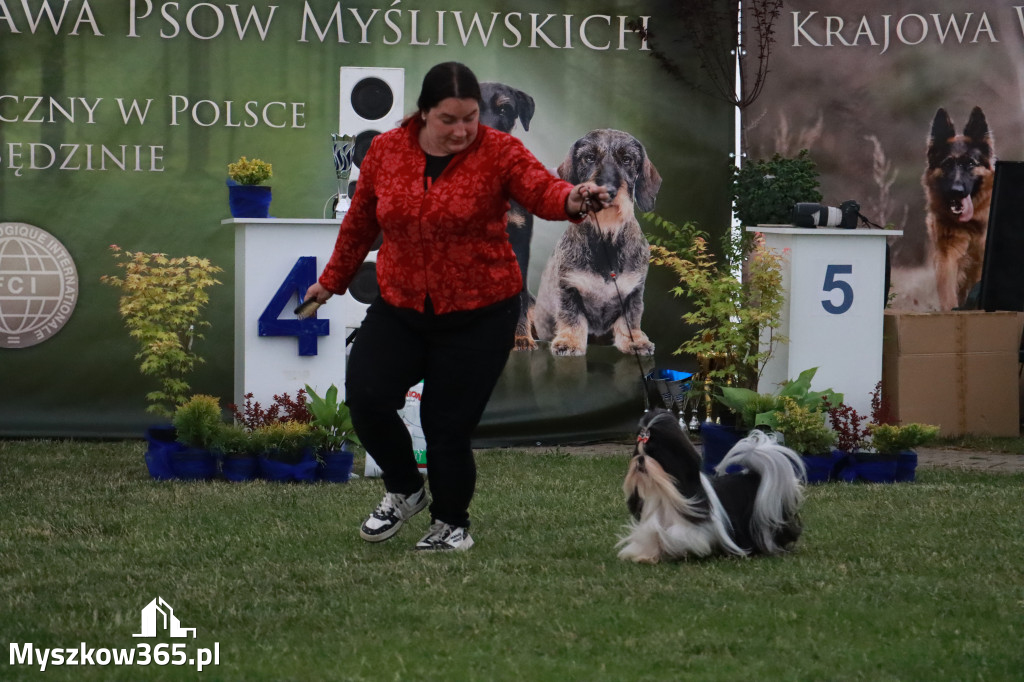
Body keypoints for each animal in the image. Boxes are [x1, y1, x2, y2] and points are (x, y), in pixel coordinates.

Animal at [532, 127, 659, 356]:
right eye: (589, 157)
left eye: (627, 159)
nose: (606, 191)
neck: (606, 239)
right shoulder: (569, 287)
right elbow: (571, 316)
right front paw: (569, 341)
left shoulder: (633, 291)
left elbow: (631, 319)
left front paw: (635, 341)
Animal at [614, 409, 806, 561]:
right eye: (638, 453)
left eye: (654, 453)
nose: (640, 459)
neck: (664, 493)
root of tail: (755, 476)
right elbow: (651, 536)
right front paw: (645, 556)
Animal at [925, 106, 995, 307]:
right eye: (947, 164)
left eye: (970, 163)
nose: (956, 191)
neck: (970, 225)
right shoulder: (947, 256)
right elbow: (948, 294)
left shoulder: (979, 261)